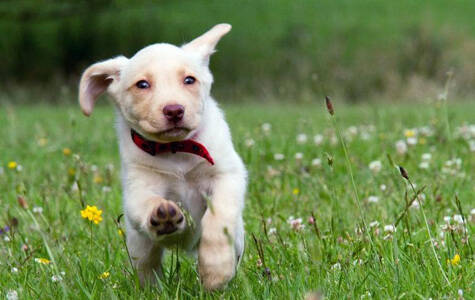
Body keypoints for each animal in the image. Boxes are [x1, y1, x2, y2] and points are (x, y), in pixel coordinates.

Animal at [77, 24, 249, 290]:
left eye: (189, 80)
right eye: (142, 84)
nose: (174, 110)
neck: (176, 149)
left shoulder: (227, 175)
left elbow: (217, 218)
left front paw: (215, 272)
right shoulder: (137, 188)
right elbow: (147, 202)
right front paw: (163, 214)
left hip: (239, 237)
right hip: (139, 245)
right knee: (148, 267)